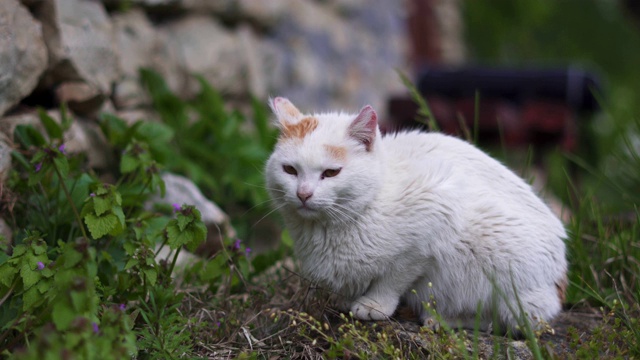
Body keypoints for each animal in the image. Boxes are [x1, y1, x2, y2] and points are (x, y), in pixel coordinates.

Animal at [264, 97, 564, 334]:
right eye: (290, 170)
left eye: (331, 173)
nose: (303, 194)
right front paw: (347, 300)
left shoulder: (433, 215)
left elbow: (394, 277)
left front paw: (375, 304)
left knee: (505, 321)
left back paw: (445, 319)